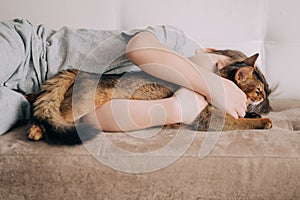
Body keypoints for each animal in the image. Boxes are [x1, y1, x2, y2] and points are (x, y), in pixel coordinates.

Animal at [27, 49, 274, 145]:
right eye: (259, 90)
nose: (264, 100)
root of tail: (85, 73)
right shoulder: (209, 117)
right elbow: (240, 122)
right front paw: (263, 121)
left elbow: (244, 116)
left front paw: (253, 114)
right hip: (82, 106)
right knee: (50, 114)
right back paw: (35, 131)